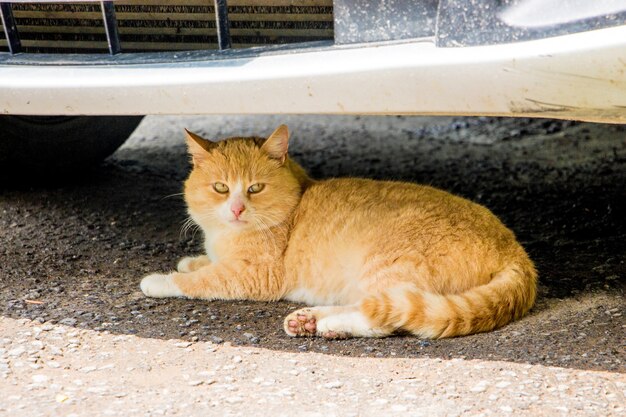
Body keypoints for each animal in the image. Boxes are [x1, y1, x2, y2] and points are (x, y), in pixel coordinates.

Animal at [141, 123, 536, 338]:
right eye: (221, 188)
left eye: (255, 188)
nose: (237, 209)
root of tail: (515, 250)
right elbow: (204, 264)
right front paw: (191, 260)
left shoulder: (256, 275)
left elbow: (202, 280)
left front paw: (160, 280)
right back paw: (310, 320)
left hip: (386, 265)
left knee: (383, 317)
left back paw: (326, 324)